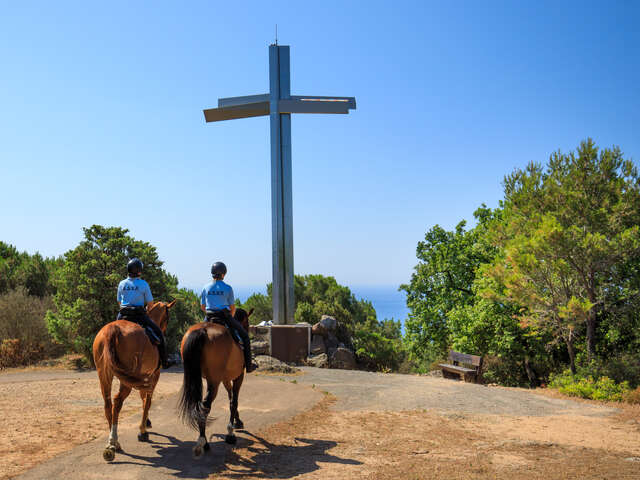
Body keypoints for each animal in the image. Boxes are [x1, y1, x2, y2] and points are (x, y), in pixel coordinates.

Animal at [90, 300, 175, 462]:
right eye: (167, 317)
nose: (164, 328)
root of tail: (112, 330)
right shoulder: (153, 376)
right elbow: (147, 401)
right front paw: (143, 430)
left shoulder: (143, 378)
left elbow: (143, 398)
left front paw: (146, 423)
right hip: (127, 379)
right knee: (117, 402)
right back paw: (113, 442)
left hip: (104, 375)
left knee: (108, 405)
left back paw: (113, 443)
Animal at [178, 308, 255, 458]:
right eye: (247, 323)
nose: (247, 330)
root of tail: (202, 331)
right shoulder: (238, 377)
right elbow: (234, 401)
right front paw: (230, 432)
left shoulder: (225, 379)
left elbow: (231, 397)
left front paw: (237, 421)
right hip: (214, 381)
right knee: (206, 405)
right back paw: (203, 443)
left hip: (202, 378)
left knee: (200, 406)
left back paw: (203, 441)